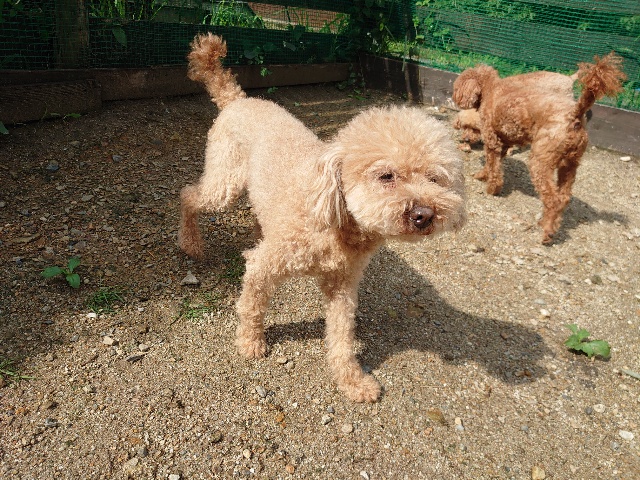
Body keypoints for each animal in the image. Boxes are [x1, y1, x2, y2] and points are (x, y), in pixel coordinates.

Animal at [179, 33, 466, 402]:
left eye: (435, 179)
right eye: (386, 176)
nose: (424, 215)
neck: (338, 223)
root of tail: (237, 99)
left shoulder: (343, 284)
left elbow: (342, 335)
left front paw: (352, 381)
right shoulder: (264, 265)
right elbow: (252, 304)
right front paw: (250, 342)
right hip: (225, 181)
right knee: (189, 195)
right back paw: (190, 242)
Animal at [453, 54, 626, 244]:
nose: (455, 95)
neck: (490, 88)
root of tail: (574, 114)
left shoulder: (492, 140)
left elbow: (494, 167)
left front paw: (492, 188)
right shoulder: (504, 141)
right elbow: (493, 164)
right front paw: (483, 175)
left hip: (540, 160)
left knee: (552, 199)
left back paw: (547, 233)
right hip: (570, 163)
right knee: (563, 197)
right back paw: (547, 223)